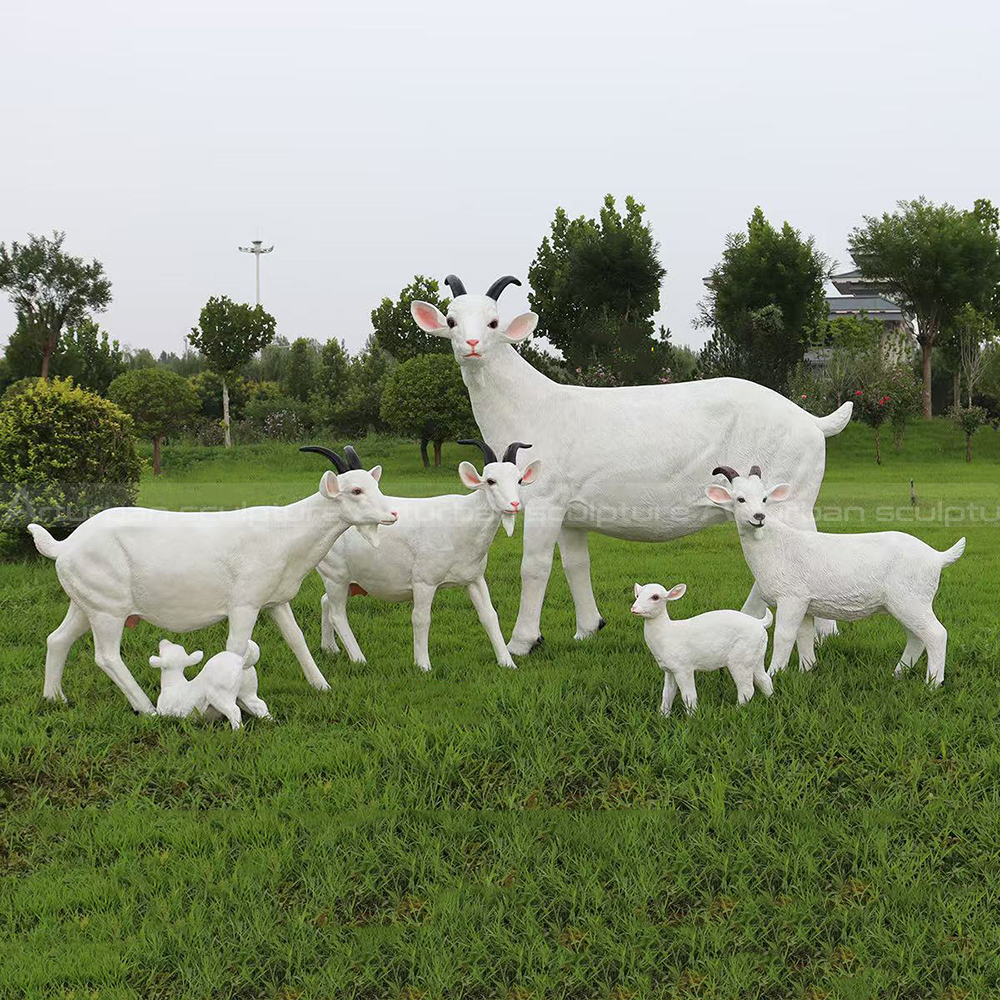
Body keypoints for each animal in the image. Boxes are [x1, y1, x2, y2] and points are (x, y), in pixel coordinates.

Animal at [28, 448, 398, 713]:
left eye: (375, 485)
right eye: (356, 490)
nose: (392, 514)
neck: (284, 533)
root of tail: (64, 546)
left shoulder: (275, 601)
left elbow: (296, 640)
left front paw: (322, 687)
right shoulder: (244, 604)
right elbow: (236, 649)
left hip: (84, 603)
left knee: (57, 639)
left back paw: (54, 699)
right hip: (108, 609)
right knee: (106, 656)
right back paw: (146, 708)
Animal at [307, 440, 541, 672]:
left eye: (519, 480)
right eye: (491, 481)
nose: (514, 505)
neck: (461, 523)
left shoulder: (474, 579)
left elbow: (489, 616)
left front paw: (507, 662)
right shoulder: (424, 581)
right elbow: (421, 619)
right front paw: (423, 665)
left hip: (348, 581)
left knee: (325, 602)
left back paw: (330, 648)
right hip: (335, 576)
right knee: (337, 615)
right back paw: (358, 659)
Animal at [411, 274, 852, 655]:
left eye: (493, 322)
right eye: (451, 320)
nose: (471, 344)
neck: (532, 404)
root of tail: (811, 421)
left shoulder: (544, 501)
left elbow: (534, 568)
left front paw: (523, 641)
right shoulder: (570, 512)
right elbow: (576, 564)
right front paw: (588, 628)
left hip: (789, 497)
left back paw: (820, 631)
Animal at [631, 582, 773, 715]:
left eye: (655, 597)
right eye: (637, 595)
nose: (634, 609)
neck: (667, 633)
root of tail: (760, 623)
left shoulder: (683, 667)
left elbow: (689, 696)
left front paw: (692, 718)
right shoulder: (669, 669)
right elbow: (667, 694)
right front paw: (663, 717)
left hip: (740, 659)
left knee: (747, 689)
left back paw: (735, 711)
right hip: (756, 655)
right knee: (764, 679)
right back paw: (770, 699)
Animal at [706, 465, 966, 686]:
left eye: (764, 499)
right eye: (740, 499)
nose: (759, 517)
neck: (774, 544)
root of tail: (937, 557)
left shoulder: (792, 598)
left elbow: (784, 635)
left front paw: (774, 673)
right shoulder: (806, 603)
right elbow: (804, 636)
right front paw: (807, 670)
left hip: (911, 599)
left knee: (936, 634)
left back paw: (933, 683)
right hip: (905, 602)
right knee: (916, 638)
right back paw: (898, 673)